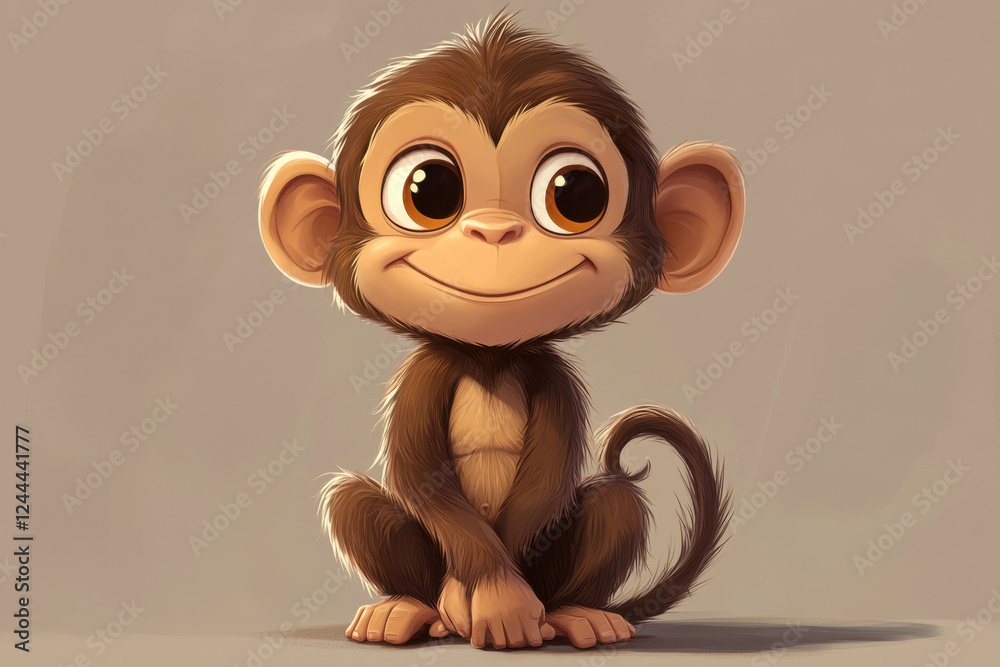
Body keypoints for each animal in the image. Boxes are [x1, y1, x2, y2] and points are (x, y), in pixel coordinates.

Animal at [258, 13, 744, 650]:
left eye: (575, 192)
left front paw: (505, 605)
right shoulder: (427, 373)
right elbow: (418, 477)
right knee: (351, 502)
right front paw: (489, 597)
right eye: (429, 189)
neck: (488, 359)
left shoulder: (552, 376)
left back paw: (576, 613)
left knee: (617, 501)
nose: (492, 232)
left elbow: (546, 483)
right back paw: (412, 609)